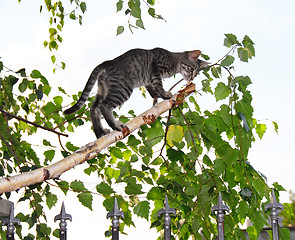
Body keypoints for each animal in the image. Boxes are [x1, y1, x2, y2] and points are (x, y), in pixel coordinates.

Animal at [65, 47, 208, 138]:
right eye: (191, 69)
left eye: (196, 73)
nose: (191, 78)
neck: (174, 60)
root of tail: (107, 62)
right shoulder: (156, 69)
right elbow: (158, 85)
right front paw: (165, 95)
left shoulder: (148, 80)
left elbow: (152, 89)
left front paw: (156, 97)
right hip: (123, 89)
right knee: (104, 106)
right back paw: (115, 125)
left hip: (103, 89)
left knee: (94, 108)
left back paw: (100, 132)